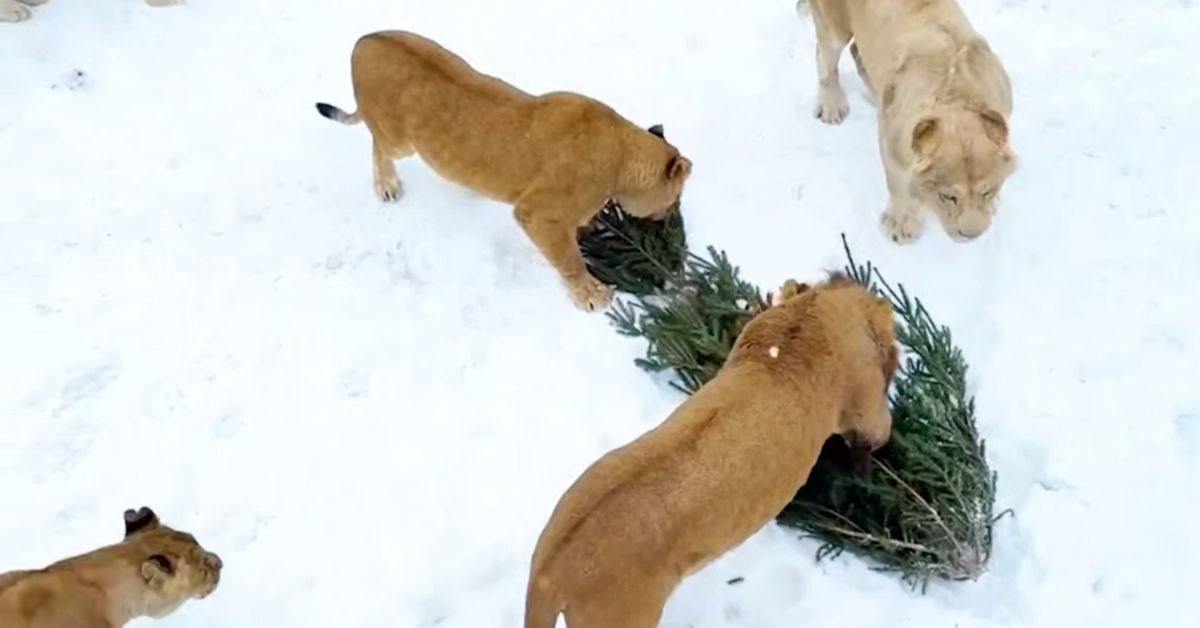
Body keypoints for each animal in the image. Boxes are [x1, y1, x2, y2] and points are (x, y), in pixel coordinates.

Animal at [316, 31, 696, 312]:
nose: (669, 217)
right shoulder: (536, 213)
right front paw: (591, 295)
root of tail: (365, 39)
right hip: (399, 140)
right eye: (676, 196)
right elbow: (569, 260)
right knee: (378, 145)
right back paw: (387, 185)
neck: (621, 149)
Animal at [801, 0, 1017, 244]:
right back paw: (832, 107)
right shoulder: (892, 143)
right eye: (948, 197)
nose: (970, 236)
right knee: (824, 57)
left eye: (987, 191)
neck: (957, 97)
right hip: (832, 26)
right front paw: (900, 228)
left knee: (857, 53)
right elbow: (899, 186)